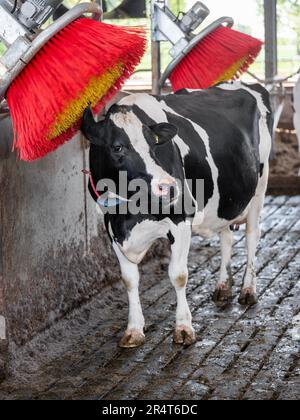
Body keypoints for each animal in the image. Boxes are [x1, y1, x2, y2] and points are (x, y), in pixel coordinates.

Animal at [81, 81, 274, 348]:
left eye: (155, 145)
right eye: (117, 147)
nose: (171, 187)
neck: (132, 211)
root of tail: (244, 84)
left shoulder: (181, 219)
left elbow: (178, 275)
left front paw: (183, 328)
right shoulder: (112, 227)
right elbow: (129, 279)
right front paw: (133, 329)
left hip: (259, 188)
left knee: (252, 236)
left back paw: (248, 290)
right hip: (225, 199)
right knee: (226, 237)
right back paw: (223, 286)